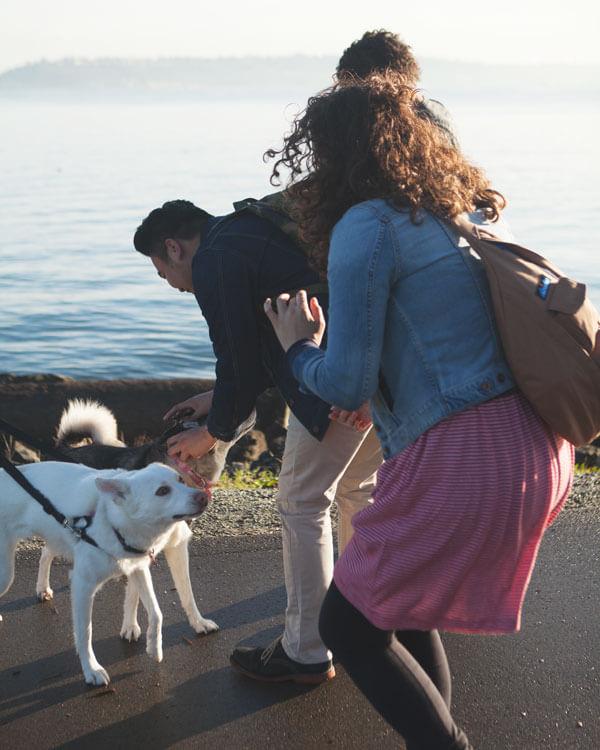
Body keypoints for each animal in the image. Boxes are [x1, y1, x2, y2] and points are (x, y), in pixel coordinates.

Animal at [0, 462, 216, 684]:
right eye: (162, 491)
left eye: (181, 480)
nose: (203, 496)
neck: (112, 522)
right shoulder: (83, 586)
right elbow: (85, 632)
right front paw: (92, 669)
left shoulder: (138, 568)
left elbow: (156, 612)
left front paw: (154, 647)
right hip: (6, 574)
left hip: (56, 537)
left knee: (45, 553)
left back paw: (43, 588)